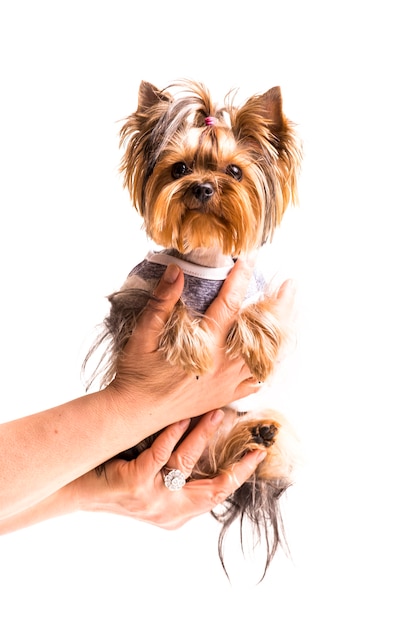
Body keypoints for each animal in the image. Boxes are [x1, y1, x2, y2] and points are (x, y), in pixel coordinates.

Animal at [84, 80, 300, 576]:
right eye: (179, 167)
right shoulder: (134, 298)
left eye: (234, 171)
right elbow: (173, 306)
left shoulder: (253, 285)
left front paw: (258, 347)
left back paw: (261, 435)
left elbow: (260, 311)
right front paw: (195, 346)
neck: (204, 253)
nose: (202, 186)